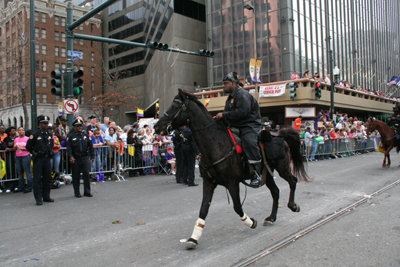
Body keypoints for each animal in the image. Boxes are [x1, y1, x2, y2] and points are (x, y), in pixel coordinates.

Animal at [153, 90, 310, 249]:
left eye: (174, 107)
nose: (156, 126)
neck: (215, 145)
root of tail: (280, 135)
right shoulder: (209, 183)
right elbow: (203, 209)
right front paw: (193, 238)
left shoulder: (233, 183)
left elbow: (237, 207)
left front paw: (251, 222)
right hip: (267, 174)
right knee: (276, 191)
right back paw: (271, 218)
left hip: (282, 168)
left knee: (293, 181)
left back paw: (293, 206)